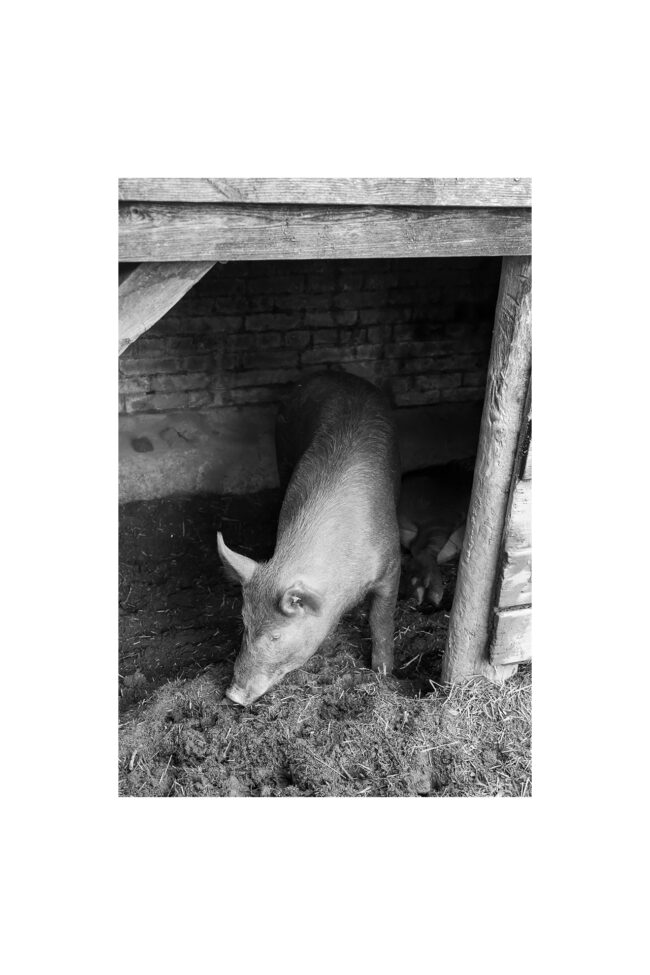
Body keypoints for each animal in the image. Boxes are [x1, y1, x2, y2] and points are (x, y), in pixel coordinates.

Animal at [217, 371, 401, 706]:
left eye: (276, 635)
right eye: (244, 623)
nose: (233, 695)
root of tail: (333, 373)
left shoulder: (391, 564)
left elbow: (381, 619)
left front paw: (383, 674)